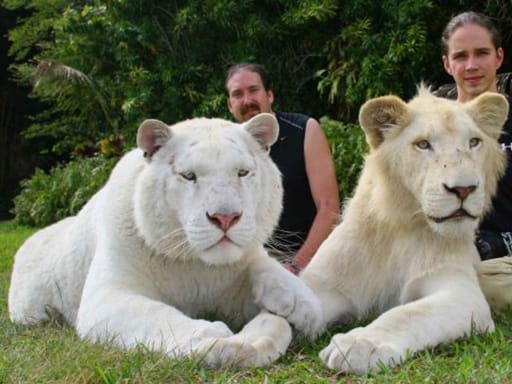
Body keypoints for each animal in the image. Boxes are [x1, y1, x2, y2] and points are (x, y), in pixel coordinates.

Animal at [8, 112, 322, 368]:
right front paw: (211, 337)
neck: (195, 265)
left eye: (243, 173)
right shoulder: (107, 295)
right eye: (189, 176)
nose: (225, 218)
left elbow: (266, 272)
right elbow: (155, 314)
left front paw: (304, 307)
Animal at [300, 88, 508, 374]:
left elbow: (406, 314)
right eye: (423, 144)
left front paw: (360, 345)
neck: (403, 225)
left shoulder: (462, 292)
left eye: (474, 142)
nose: (464, 189)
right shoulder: (325, 283)